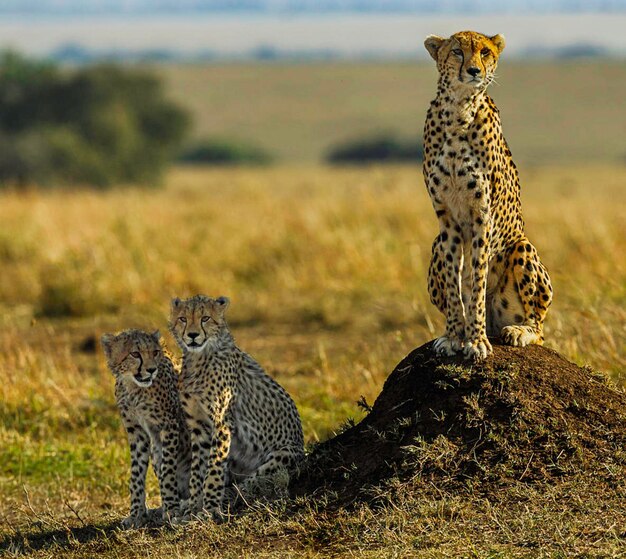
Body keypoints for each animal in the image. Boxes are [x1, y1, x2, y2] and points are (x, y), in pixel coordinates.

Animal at [422, 30, 548, 360]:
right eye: (456, 51)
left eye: (485, 52)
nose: (474, 71)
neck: (459, 110)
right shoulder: (447, 218)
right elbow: (456, 284)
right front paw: (455, 336)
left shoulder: (482, 215)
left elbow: (477, 279)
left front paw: (476, 340)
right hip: (435, 243)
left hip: (522, 246)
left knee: (539, 328)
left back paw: (517, 331)